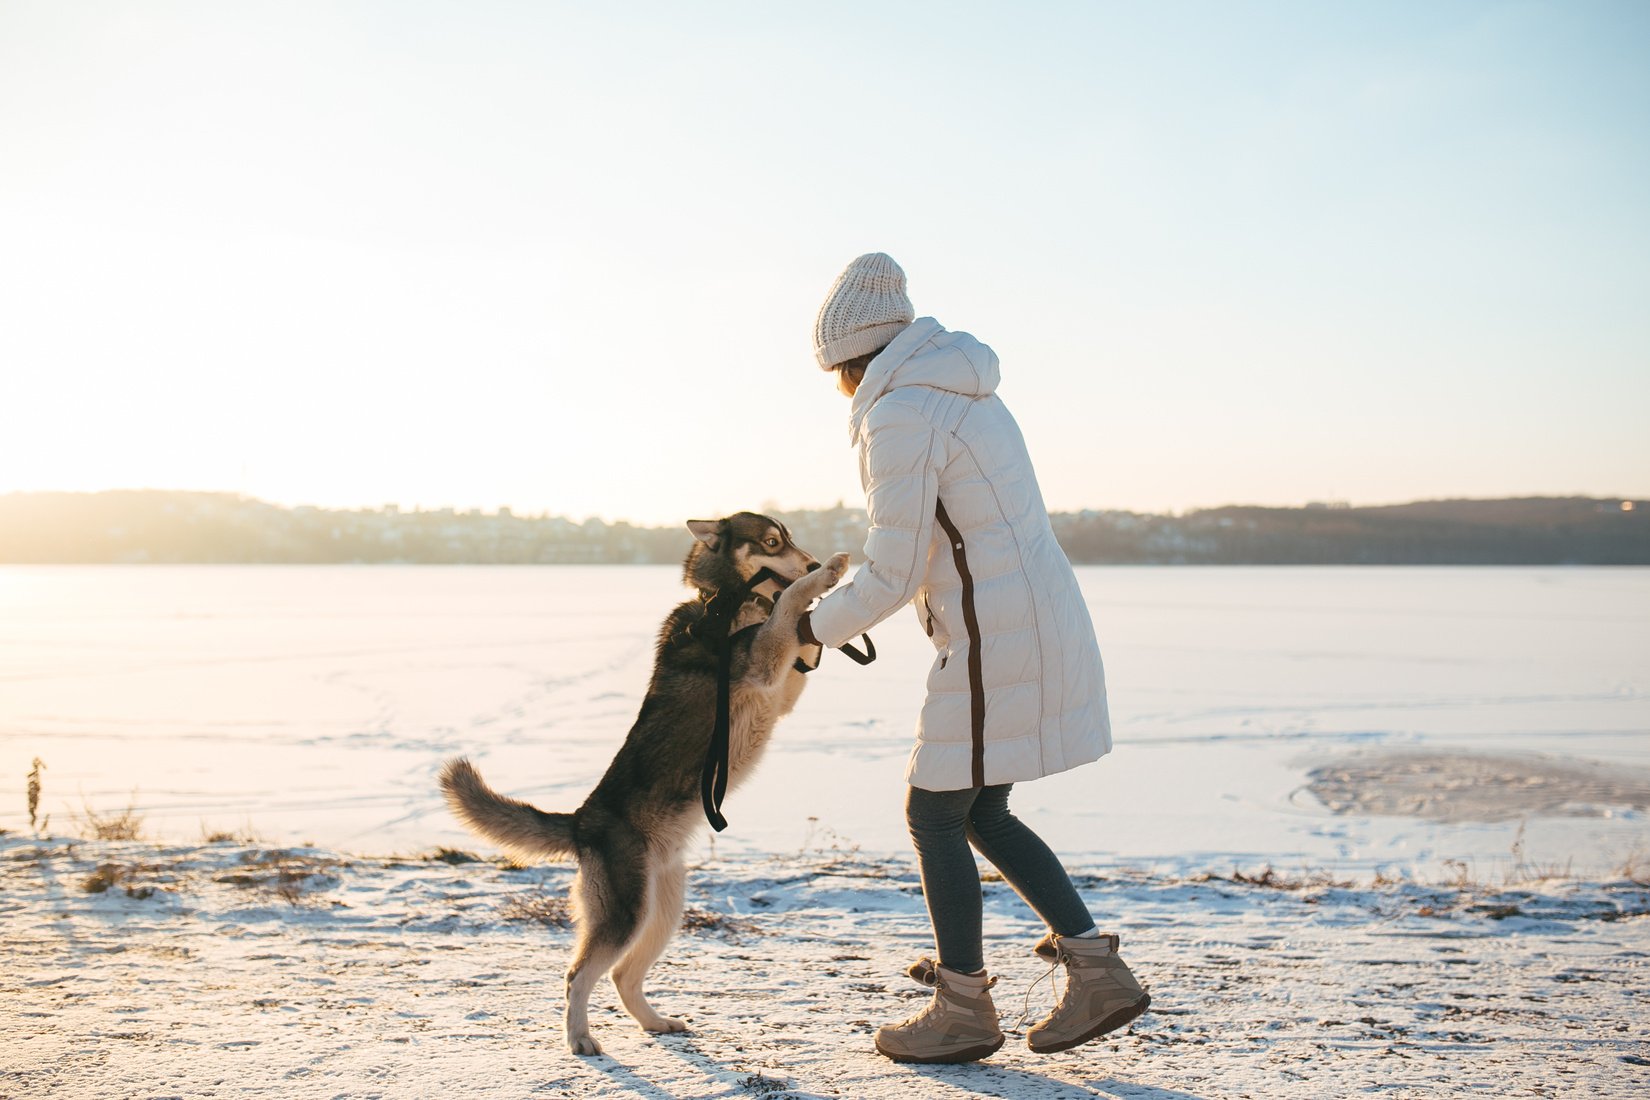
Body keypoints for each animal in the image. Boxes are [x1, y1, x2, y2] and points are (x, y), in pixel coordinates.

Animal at [438, 517, 844, 1055]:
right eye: (772, 542)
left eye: (791, 537)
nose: (814, 561)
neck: (725, 602)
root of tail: (581, 821)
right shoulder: (761, 662)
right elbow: (787, 605)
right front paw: (823, 579)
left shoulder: (783, 689)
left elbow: (798, 638)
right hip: (626, 912)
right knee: (577, 976)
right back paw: (580, 1038)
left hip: (662, 910)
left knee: (622, 976)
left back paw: (654, 1022)